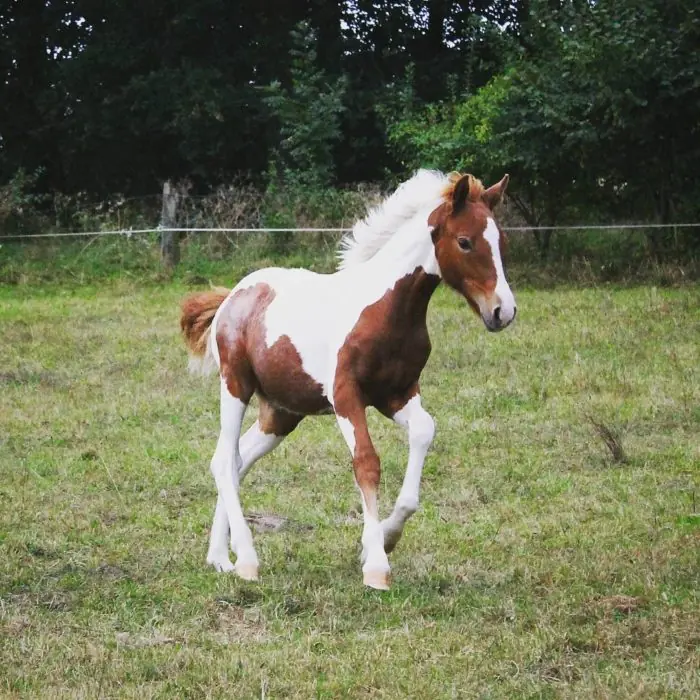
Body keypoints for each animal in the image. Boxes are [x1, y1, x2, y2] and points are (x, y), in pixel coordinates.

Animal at [180, 169, 516, 590]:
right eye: (465, 242)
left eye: (502, 242)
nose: (503, 311)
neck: (388, 309)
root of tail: (234, 295)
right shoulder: (345, 396)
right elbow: (367, 462)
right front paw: (376, 566)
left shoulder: (398, 394)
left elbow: (424, 431)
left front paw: (385, 539)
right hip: (236, 385)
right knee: (225, 460)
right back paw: (246, 559)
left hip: (281, 412)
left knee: (239, 459)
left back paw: (219, 557)